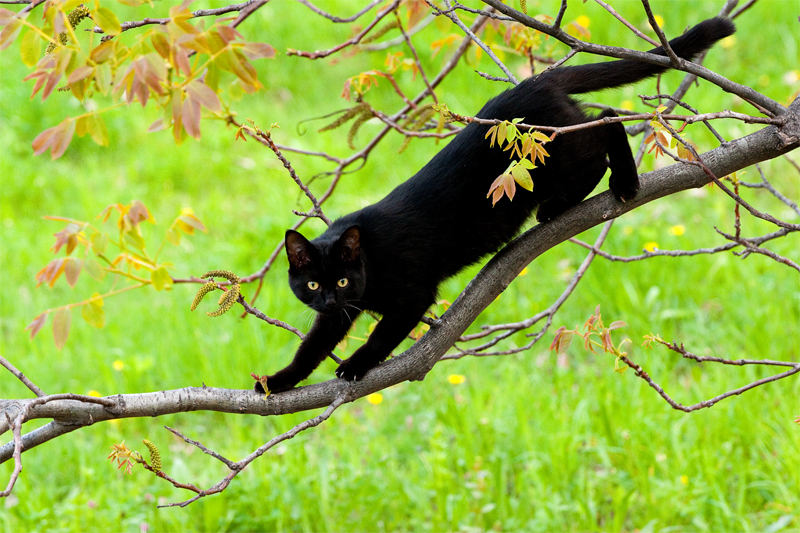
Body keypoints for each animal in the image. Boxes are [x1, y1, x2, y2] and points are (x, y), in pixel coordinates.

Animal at [255, 17, 732, 390]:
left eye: (340, 280)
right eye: (312, 285)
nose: (329, 299)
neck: (369, 258)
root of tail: (536, 80)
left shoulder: (412, 294)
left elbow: (380, 338)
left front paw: (355, 366)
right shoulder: (336, 317)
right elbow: (311, 348)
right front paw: (276, 382)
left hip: (555, 155)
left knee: (609, 121)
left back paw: (621, 184)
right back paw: (561, 207)